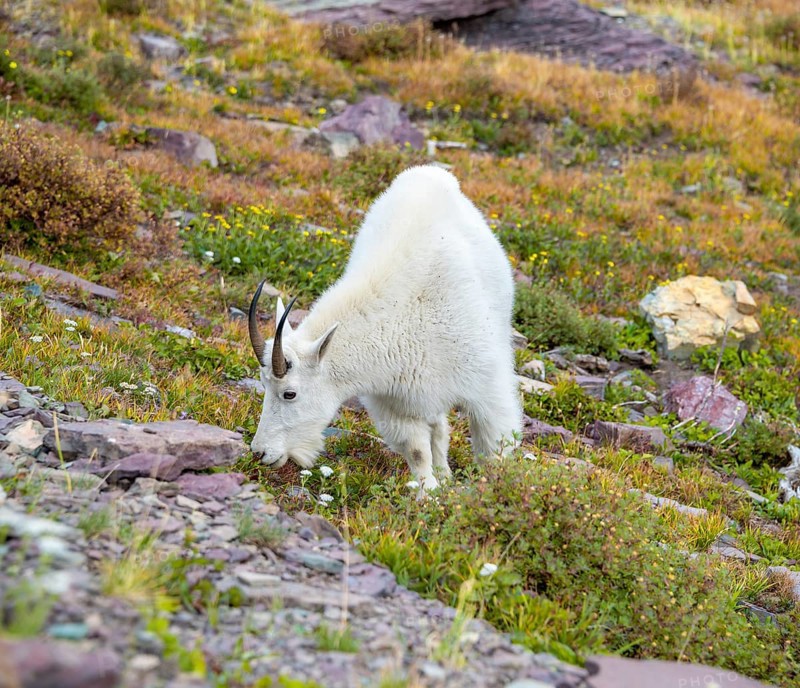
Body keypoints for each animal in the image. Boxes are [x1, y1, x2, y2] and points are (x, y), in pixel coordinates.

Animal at [248, 165, 522, 491]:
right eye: (263, 384)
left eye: (289, 393)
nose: (260, 452)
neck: (400, 322)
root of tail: (432, 172)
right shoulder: (394, 402)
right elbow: (418, 451)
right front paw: (429, 493)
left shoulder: (485, 386)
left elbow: (493, 445)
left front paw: (493, 489)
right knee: (438, 430)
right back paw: (444, 476)